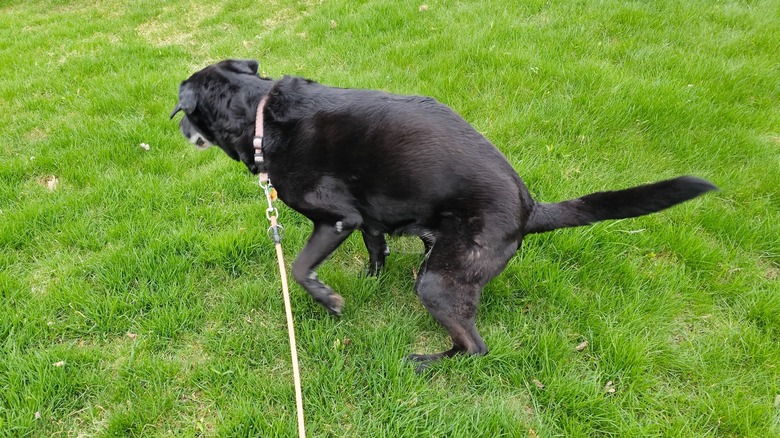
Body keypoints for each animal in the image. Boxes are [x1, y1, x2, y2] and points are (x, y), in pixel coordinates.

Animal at [172, 58, 720, 366]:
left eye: (184, 113)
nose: (176, 130)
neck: (260, 113)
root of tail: (529, 208)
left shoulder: (336, 218)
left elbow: (301, 267)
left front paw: (330, 300)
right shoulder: (369, 221)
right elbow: (376, 250)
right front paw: (369, 283)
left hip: (436, 282)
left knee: (475, 348)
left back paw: (426, 361)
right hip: (437, 257)